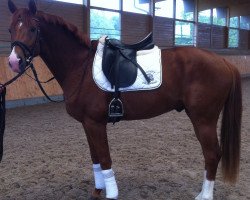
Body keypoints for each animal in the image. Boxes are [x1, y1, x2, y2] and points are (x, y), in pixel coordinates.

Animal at [5, 0, 242, 199]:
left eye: (33, 29)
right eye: (10, 29)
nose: (14, 62)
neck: (80, 66)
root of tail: (223, 61)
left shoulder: (96, 123)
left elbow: (105, 158)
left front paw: (111, 193)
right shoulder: (87, 124)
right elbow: (95, 159)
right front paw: (98, 190)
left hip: (203, 120)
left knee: (212, 154)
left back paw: (205, 195)